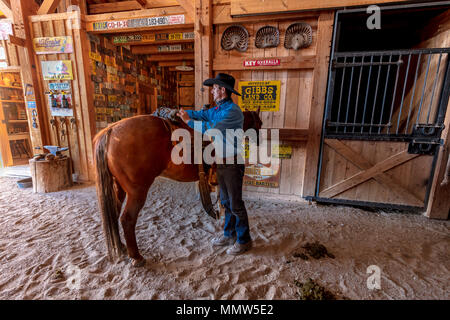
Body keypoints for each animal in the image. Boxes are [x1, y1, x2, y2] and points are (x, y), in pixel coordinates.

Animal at [93, 111, 262, 266]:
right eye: (259, 123)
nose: (259, 142)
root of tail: (111, 130)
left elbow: (225, 204)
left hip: (119, 189)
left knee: (114, 214)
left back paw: (122, 247)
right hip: (137, 192)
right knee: (127, 219)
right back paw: (136, 257)